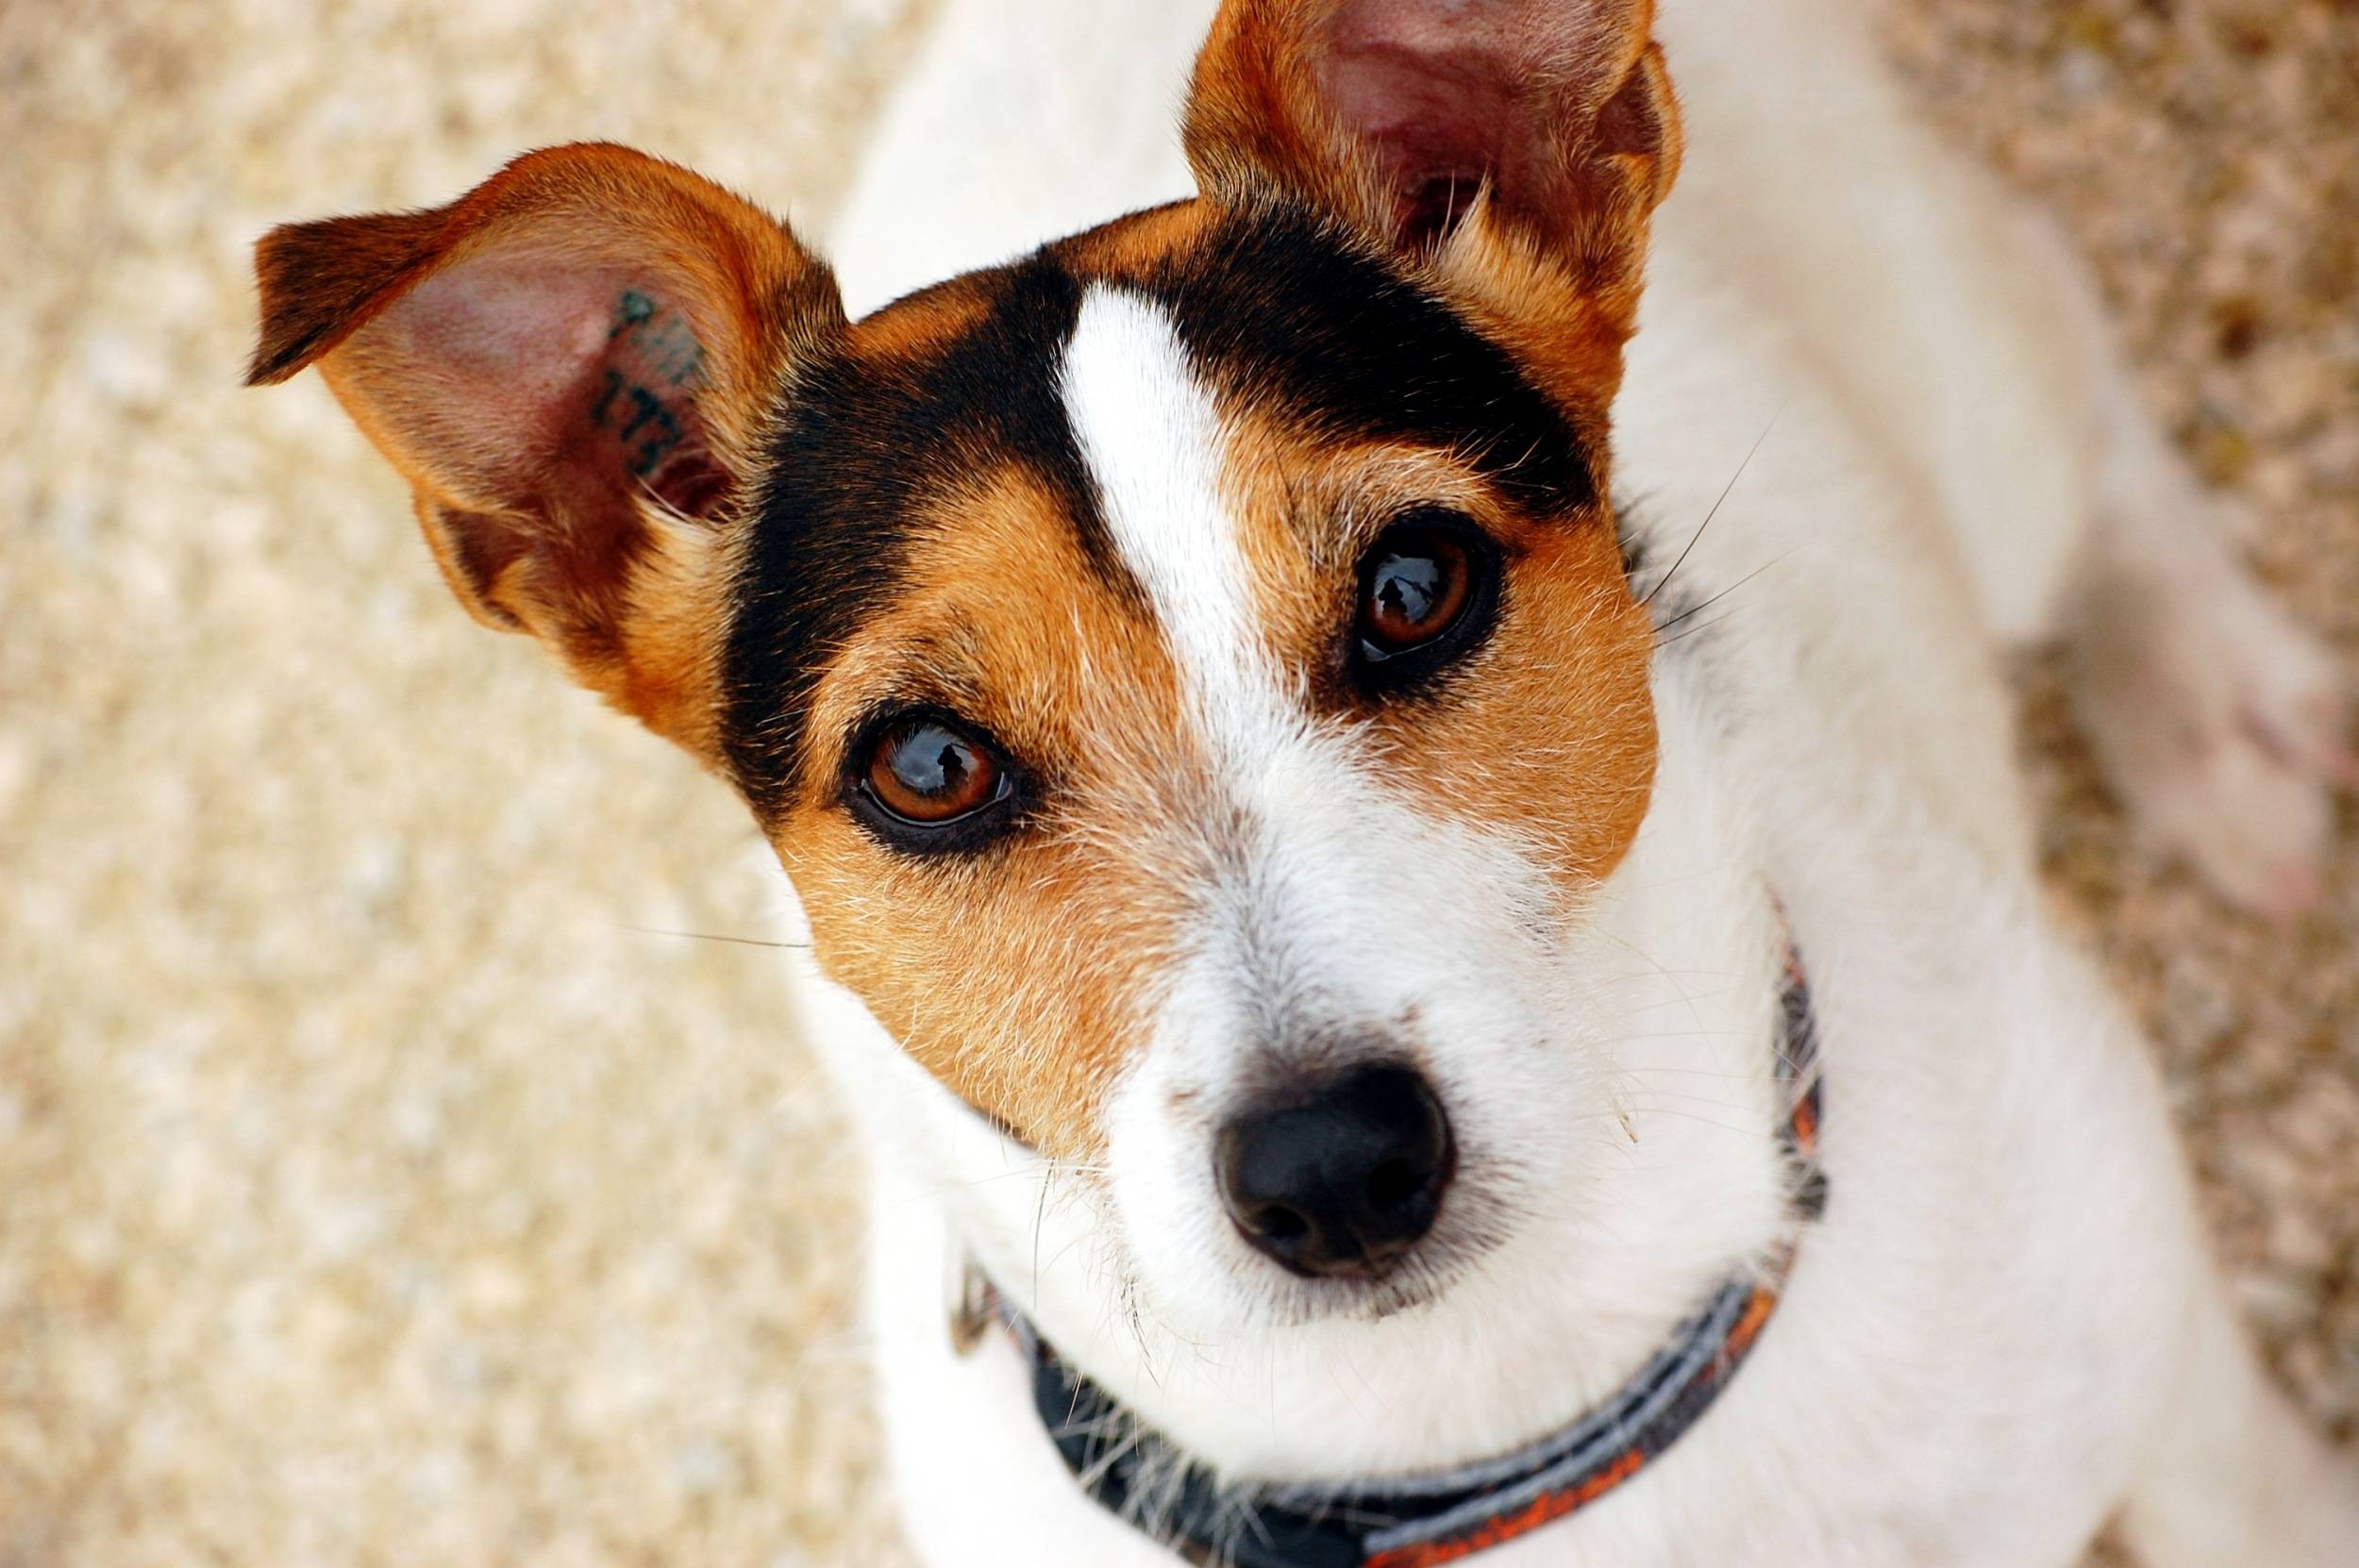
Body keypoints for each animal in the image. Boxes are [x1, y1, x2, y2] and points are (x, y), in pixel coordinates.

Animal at [243, 3, 2359, 1565]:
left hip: (1968, 391)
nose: (1335, 1166)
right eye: (925, 764)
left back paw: (2213, 711)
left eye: (1414, 587)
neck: (1499, 1412)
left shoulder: (2163, 1366)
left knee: (2069, 364)